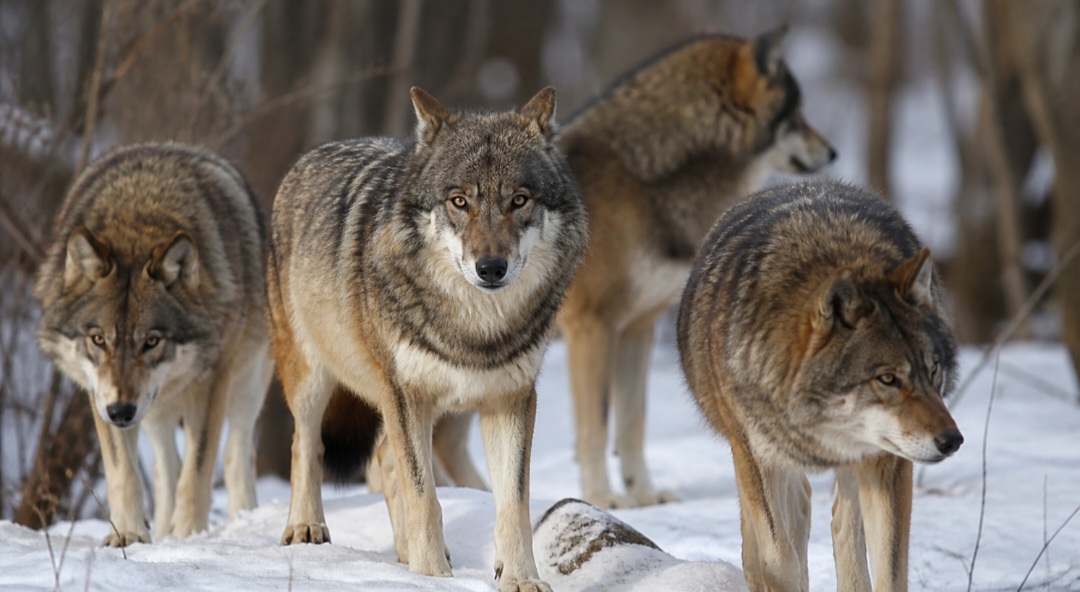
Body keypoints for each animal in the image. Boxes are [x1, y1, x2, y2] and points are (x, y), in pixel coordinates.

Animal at [34, 142, 273, 547]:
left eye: (151, 341)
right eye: (98, 339)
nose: (121, 412)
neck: (138, 220)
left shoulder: (212, 383)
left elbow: (196, 475)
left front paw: (189, 537)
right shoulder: (100, 395)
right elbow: (125, 475)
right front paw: (129, 535)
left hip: (247, 384)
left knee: (235, 458)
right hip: (154, 410)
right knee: (166, 471)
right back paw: (161, 532)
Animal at [268, 86, 587, 591]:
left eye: (519, 200)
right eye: (459, 201)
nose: (491, 268)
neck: (474, 328)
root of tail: (311, 155)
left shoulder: (511, 399)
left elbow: (512, 504)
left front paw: (519, 578)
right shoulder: (405, 394)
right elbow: (425, 497)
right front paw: (431, 576)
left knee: (383, 458)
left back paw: (401, 553)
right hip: (313, 379)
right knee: (308, 445)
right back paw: (306, 527)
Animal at [552, 26, 837, 508]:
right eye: (796, 114)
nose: (832, 152)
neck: (645, 176)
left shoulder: (637, 328)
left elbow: (633, 425)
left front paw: (645, 494)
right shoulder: (591, 327)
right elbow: (596, 429)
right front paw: (603, 499)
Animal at [677, 180, 964, 592]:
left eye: (933, 369)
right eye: (888, 379)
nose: (952, 440)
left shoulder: (887, 460)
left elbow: (890, 570)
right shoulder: (757, 458)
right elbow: (777, 560)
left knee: (840, 524)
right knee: (771, 535)